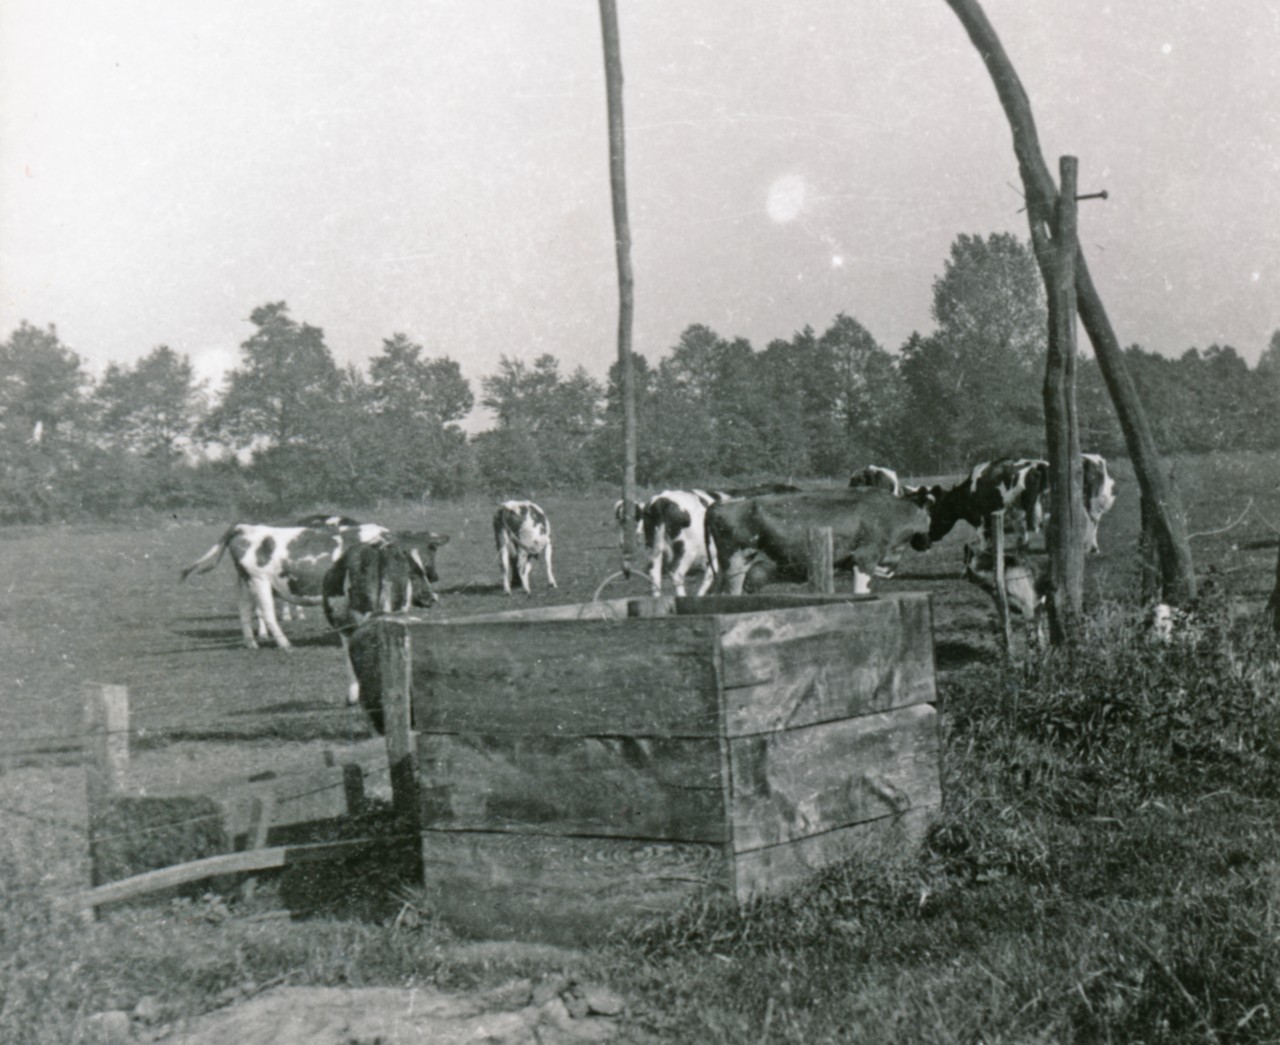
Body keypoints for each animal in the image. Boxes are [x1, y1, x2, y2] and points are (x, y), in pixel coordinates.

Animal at [183, 519, 448, 645]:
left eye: (428, 555)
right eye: (413, 570)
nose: (432, 597)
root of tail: (244, 527)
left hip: (246, 583)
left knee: (245, 610)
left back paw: (253, 643)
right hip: (259, 581)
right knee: (266, 612)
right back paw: (284, 643)